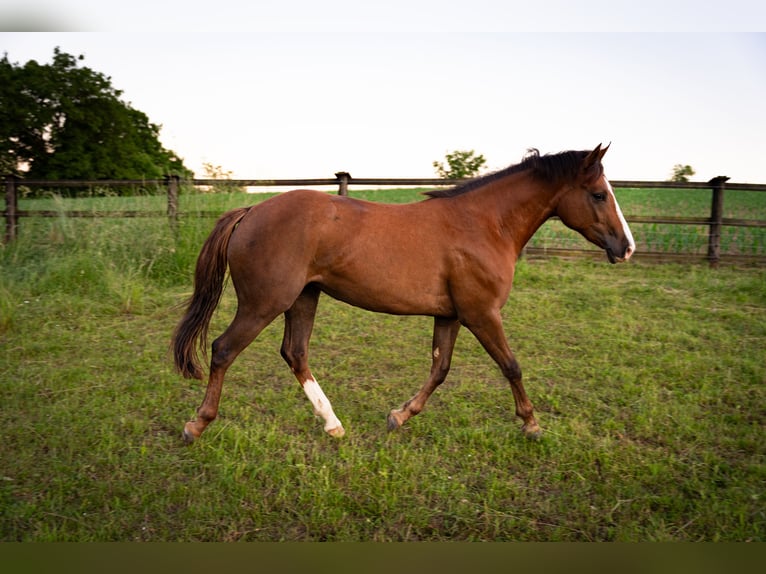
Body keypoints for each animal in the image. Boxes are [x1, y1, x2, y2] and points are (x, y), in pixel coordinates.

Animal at [173, 144, 635, 444]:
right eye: (598, 194)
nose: (626, 248)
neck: (484, 225)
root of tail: (251, 211)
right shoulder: (482, 313)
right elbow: (511, 366)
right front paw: (532, 425)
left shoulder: (451, 315)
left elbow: (440, 368)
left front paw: (399, 415)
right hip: (264, 303)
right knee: (223, 349)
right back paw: (197, 425)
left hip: (303, 298)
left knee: (295, 353)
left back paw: (334, 425)